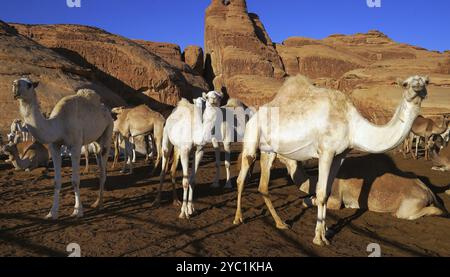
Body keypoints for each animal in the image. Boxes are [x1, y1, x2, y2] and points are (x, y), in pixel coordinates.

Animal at [13, 77, 114, 218]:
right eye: (17, 81)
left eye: (29, 84)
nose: (15, 85)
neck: (59, 123)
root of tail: (106, 110)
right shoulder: (54, 146)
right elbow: (56, 181)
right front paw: (52, 212)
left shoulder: (75, 146)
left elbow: (75, 180)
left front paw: (77, 211)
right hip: (96, 140)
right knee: (99, 162)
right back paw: (96, 202)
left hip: (108, 131)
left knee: (103, 170)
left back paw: (100, 205)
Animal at [234, 74, 428, 245]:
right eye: (405, 84)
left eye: (426, 81)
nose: (418, 88)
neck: (352, 126)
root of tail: (253, 116)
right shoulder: (326, 151)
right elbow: (320, 193)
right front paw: (318, 239)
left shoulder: (339, 155)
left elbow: (327, 193)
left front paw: (326, 232)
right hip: (252, 138)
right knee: (241, 177)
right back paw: (238, 218)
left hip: (270, 150)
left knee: (263, 186)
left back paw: (281, 223)